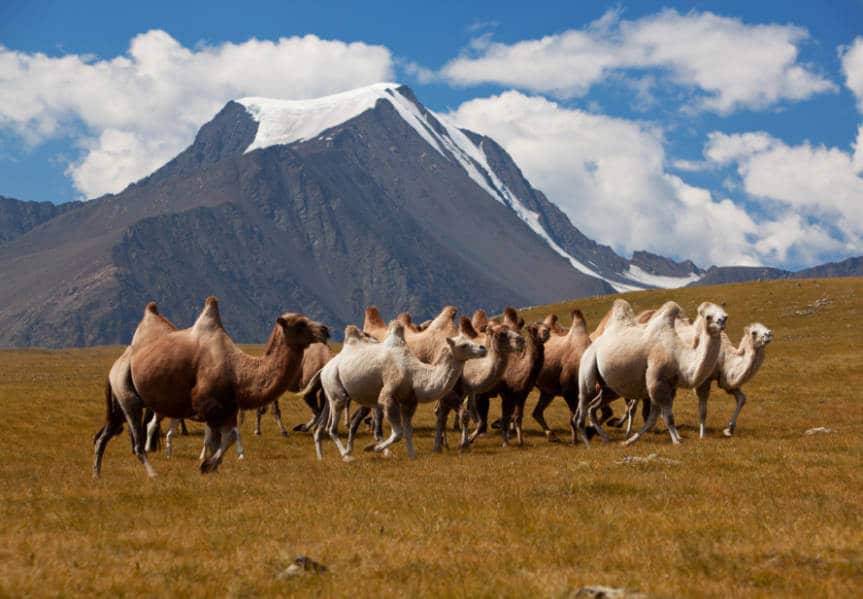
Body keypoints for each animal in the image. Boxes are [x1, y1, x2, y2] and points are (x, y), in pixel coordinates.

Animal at [93, 297, 329, 477]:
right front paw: (207, 464)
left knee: (105, 434)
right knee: (136, 442)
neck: (238, 372)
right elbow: (225, 438)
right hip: (128, 397)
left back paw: (97, 475)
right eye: (300, 323)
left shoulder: (228, 410)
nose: (325, 330)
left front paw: (210, 466)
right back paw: (152, 474)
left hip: (123, 399)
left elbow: (227, 438)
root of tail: (117, 364)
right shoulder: (208, 407)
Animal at [310, 322, 486, 461]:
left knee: (322, 425)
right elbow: (398, 433)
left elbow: (408, 431)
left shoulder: (409, 401)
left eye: (470, 340)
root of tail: (325, 368)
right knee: (331, 427)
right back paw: (347, 456)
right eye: (463, 345)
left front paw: (412, 456)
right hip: (336, 390)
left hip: (331, 393)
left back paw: (321, 457)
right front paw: (373, 448)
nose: (483, 348)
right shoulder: (387, 396)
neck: (415, 375)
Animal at [433, 318, 525, 452]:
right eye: (501, 334)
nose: (521, 340)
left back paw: (444, 443)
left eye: (513, 329)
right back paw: (441, 443)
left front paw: (468, 440)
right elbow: (464, 415)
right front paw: (464, 444)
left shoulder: (471, 391)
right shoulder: (453, 391)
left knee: (442, 413)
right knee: (439, 412)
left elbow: (477, 420)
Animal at [576, 299, 727, 447]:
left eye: (724, 314)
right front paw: (676, 441)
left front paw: (628, 441)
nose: (722, 322)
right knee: (583, 404)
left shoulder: (669, 387)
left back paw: (605, 438)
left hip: (609, 387)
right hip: (587, 366)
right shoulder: (656, 381)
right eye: (708, 317)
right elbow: (668, 418)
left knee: (592, 408)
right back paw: (587, 444)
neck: (678, 355)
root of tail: (593, 343)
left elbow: (653, 418)